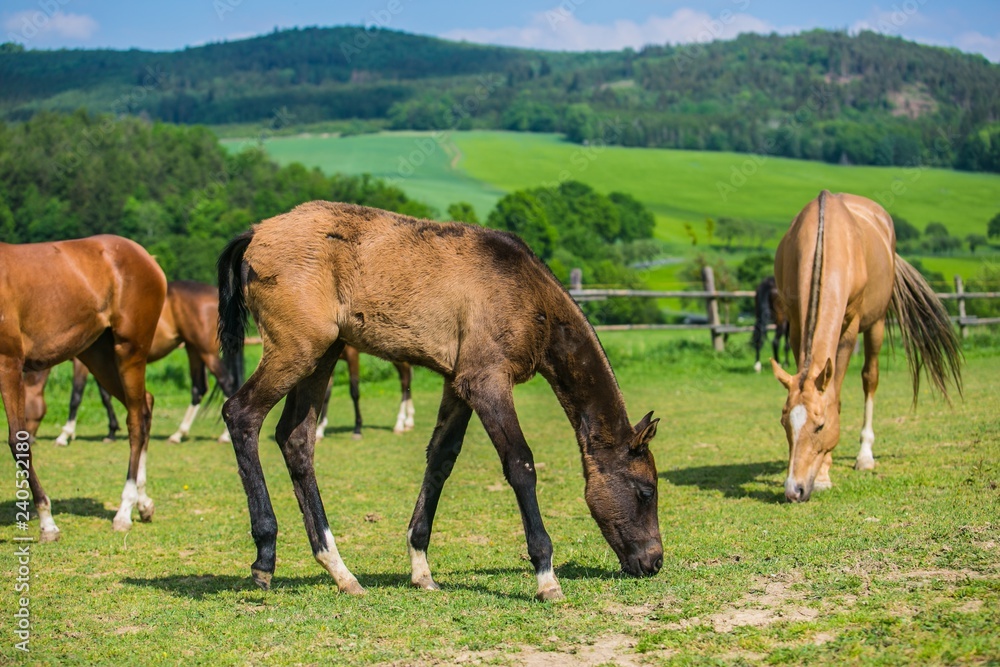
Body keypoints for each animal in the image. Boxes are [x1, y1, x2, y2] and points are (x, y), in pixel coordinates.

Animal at [0, 235, 166, 539]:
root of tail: (145, 257)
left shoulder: (8, 363)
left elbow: (18, 441)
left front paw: (47, 522)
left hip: (130, 351)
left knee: (136, 422)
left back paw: (125, 509)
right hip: (98, 356)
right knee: (145, 406)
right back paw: (143, 502)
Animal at [48, 281, 242, 446]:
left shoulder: (82, 363)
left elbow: (76, 397)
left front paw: (65, 435)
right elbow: (105, 396)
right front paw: (111, 431)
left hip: (207, 353)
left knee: (226, 384)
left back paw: (224, 436)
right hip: (193, 349)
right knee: (199, 389)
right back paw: (178, 434)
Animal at [217, 201, 663, 601]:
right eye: (646, 491)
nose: (655, 562)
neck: (524, 291)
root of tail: (255, 233)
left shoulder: (458, 384)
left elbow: (441, 461)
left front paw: (421, 568)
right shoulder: (487, 382)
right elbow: (520, 464)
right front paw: (546, 577)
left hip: (323, 354)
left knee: (296, 439)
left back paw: (341, 572)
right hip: (297, 350)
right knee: (241, 414)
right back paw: (265, 557)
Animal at [771, 191, 962, 502]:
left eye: (820, 426)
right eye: (784, 423)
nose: (794, 490)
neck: (828, 239)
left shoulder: (850, 328)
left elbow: (836, 396)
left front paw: (823, 476)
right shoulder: (797, 324)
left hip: (877, 324)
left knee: (870, 378)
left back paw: (864, 456)